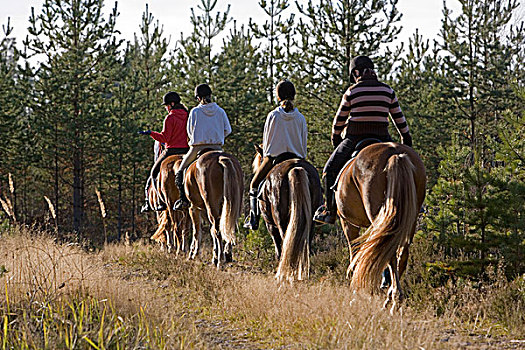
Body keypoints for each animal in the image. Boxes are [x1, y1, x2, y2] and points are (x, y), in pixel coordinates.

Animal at [252, 146, 322, 284]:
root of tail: (296, 167)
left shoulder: (270, 224)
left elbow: (278, 247)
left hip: (281, 222)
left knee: (285, 241)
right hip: (311, 222)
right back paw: (303, 273)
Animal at [336, 142, 426, 312]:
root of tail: (394, 153)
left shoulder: (348, 224)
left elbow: (354, 252)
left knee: (389, 253)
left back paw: (393, 299)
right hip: (410, 217)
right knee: (401, 252)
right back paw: (392, 298)